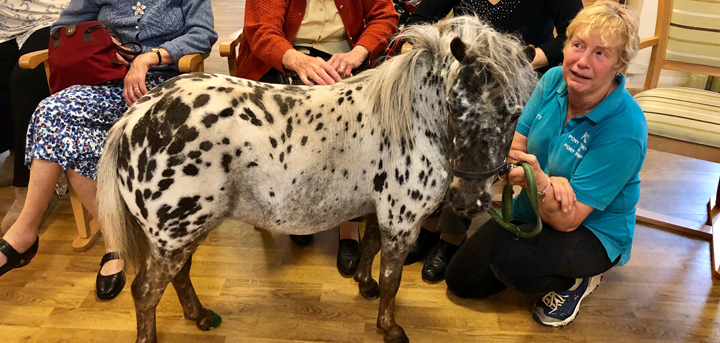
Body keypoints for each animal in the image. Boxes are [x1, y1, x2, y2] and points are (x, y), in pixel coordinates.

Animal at [95, 16, 536, 343]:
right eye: (455, 105)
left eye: (515, 112)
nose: (470, 201)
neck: (409, 121)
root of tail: (135, 117)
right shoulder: (401, 221)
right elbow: (392, 278)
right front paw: (390, 328)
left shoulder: (379, 210)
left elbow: (370, 248)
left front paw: (364, 285)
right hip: (177, 233)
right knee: (146, 292)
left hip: (185, 232)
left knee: (180, 277)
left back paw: (201, 317)